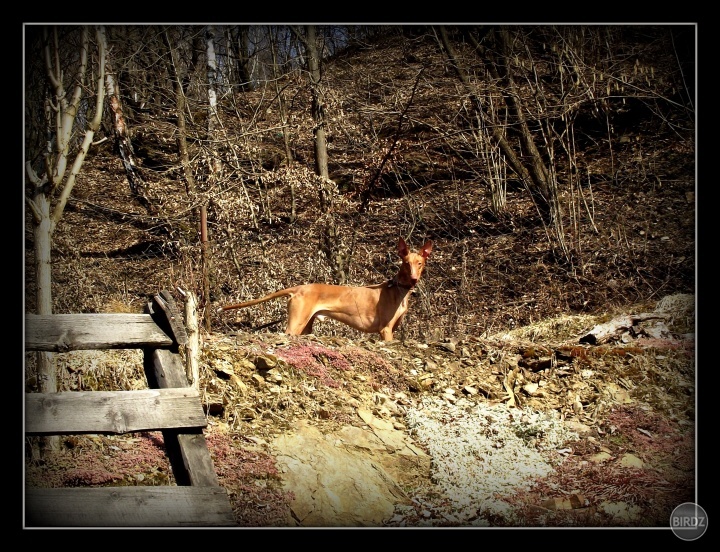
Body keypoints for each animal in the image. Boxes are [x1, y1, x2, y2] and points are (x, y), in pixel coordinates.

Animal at [219, 238, 434, 340]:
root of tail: (300, 287)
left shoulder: (392, 330)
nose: (414, 279)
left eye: (420, 263)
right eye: (406, 263)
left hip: (306, 326)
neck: (398, 290)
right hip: (295, 324)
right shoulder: (385, 330)